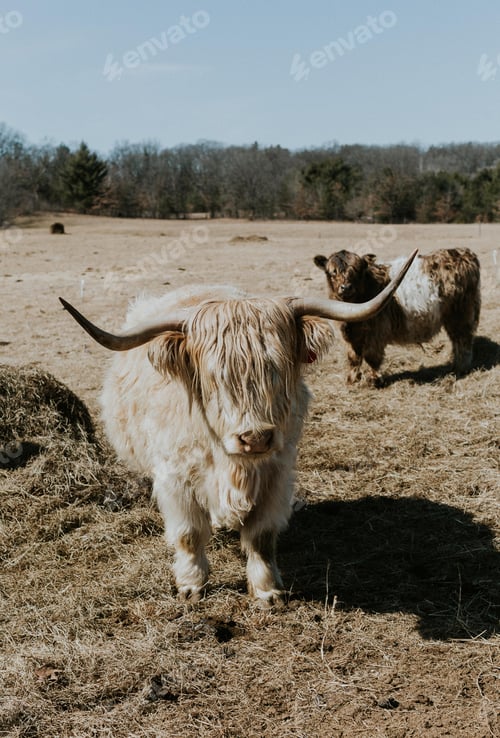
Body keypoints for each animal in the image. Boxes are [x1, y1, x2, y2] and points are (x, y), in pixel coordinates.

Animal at [60, 250, 415, 605]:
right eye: (214, 378)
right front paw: (191, 584)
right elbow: (189, 534)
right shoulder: (175, 478)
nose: (255, 438)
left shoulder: (277, 474)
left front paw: (267, 590)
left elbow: (261, 537)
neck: (232, 466)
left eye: (277, 370)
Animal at [314, 248, 481, 385]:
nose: (346, 287)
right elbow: (353, 358)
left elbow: (371, 357)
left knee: (463, 340)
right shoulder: (351, 337)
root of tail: (464, 252)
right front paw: (352, 380)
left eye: (357, 271)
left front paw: (374, 380)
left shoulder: (376, 334)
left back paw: (460, 369)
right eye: (332, 272)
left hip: (461, 315)